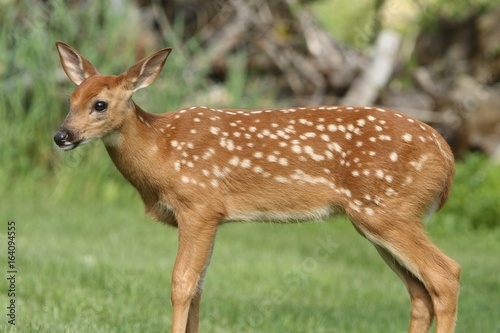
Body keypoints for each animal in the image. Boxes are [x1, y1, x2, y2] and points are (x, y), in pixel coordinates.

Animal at [54, 42, 460, 332]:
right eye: (71, 100)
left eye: (100, 104)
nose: (61, 136)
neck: (162, 150)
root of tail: (447, 156)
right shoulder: (213, 217)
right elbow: (199, 288)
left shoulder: (199, 204)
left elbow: (181, 284)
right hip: (378, 220)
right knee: (420, 293)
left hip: (387, 210)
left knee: (446, 275)